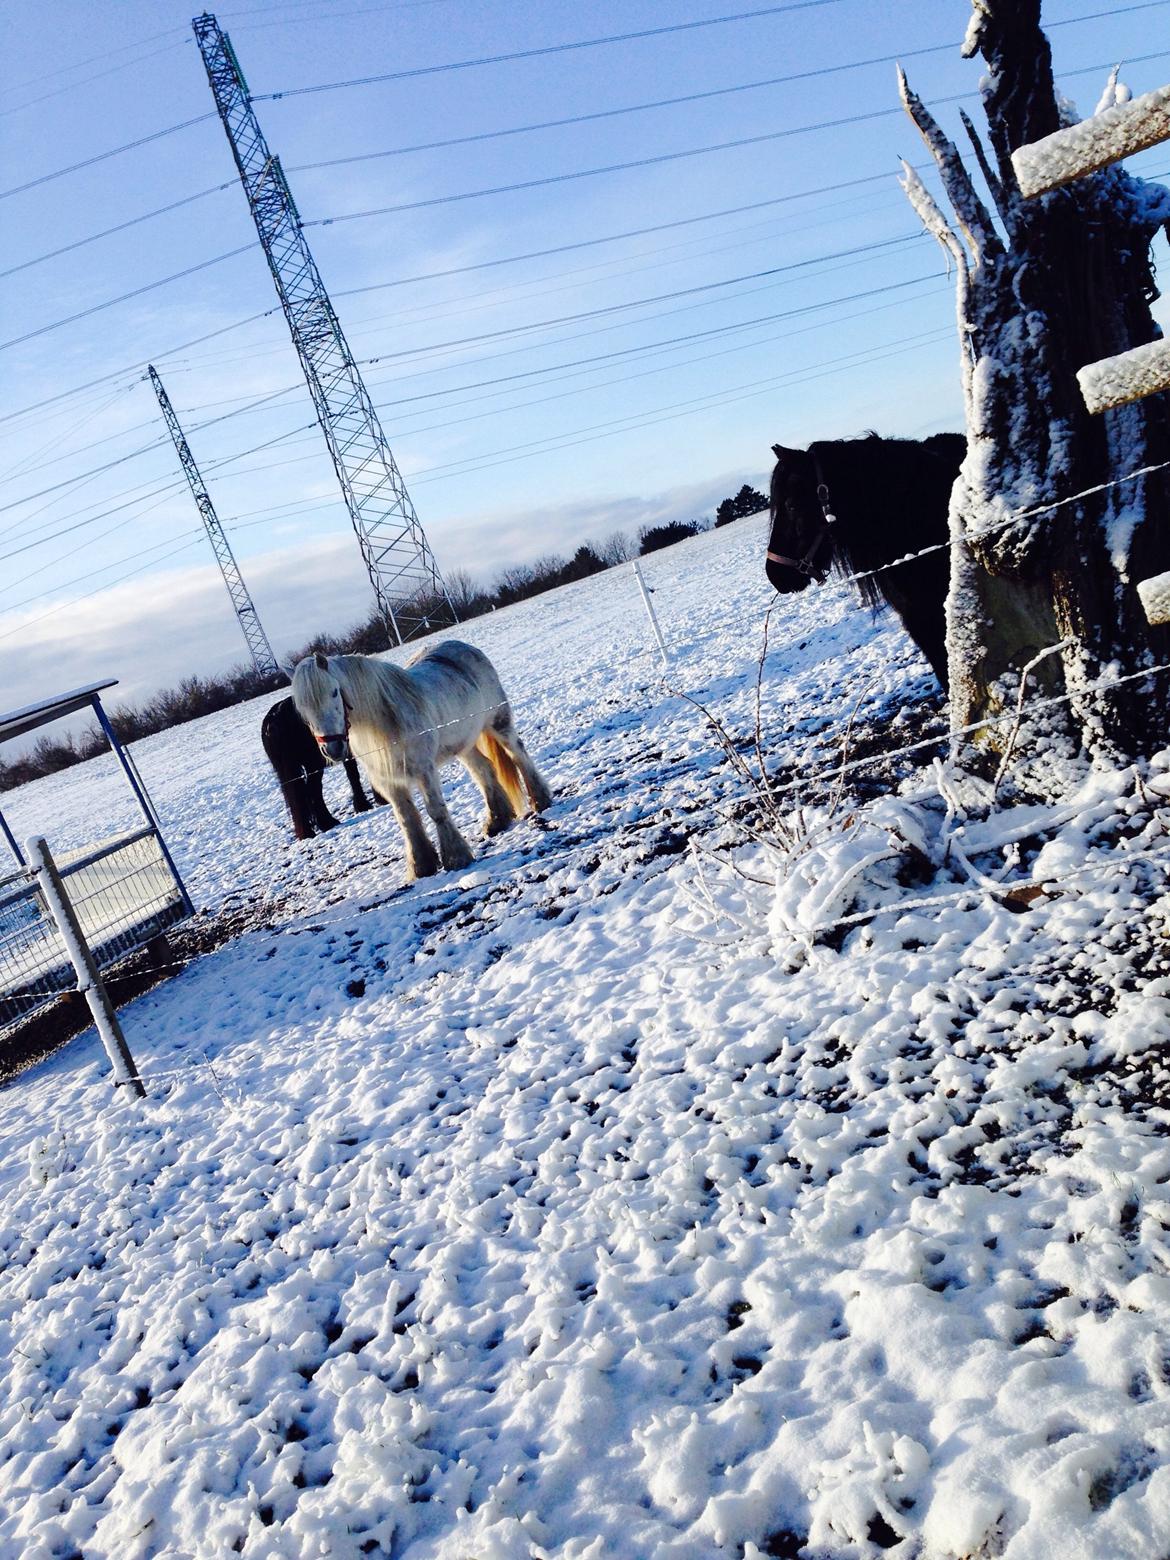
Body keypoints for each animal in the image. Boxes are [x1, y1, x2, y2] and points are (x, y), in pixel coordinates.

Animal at [291, 641, 552, 881]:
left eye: (334, 692)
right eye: (302, 709)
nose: (333, 748)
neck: (385, 722)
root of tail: (466, 647)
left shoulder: (423, 770)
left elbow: (435, 810)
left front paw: (456, 858)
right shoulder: (389, 783)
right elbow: (407, 820)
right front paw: (421, 866)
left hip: (499, 723)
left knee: (518, 754)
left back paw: (540, 801)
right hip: (463, 744)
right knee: (484, 770)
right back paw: (496, 821)